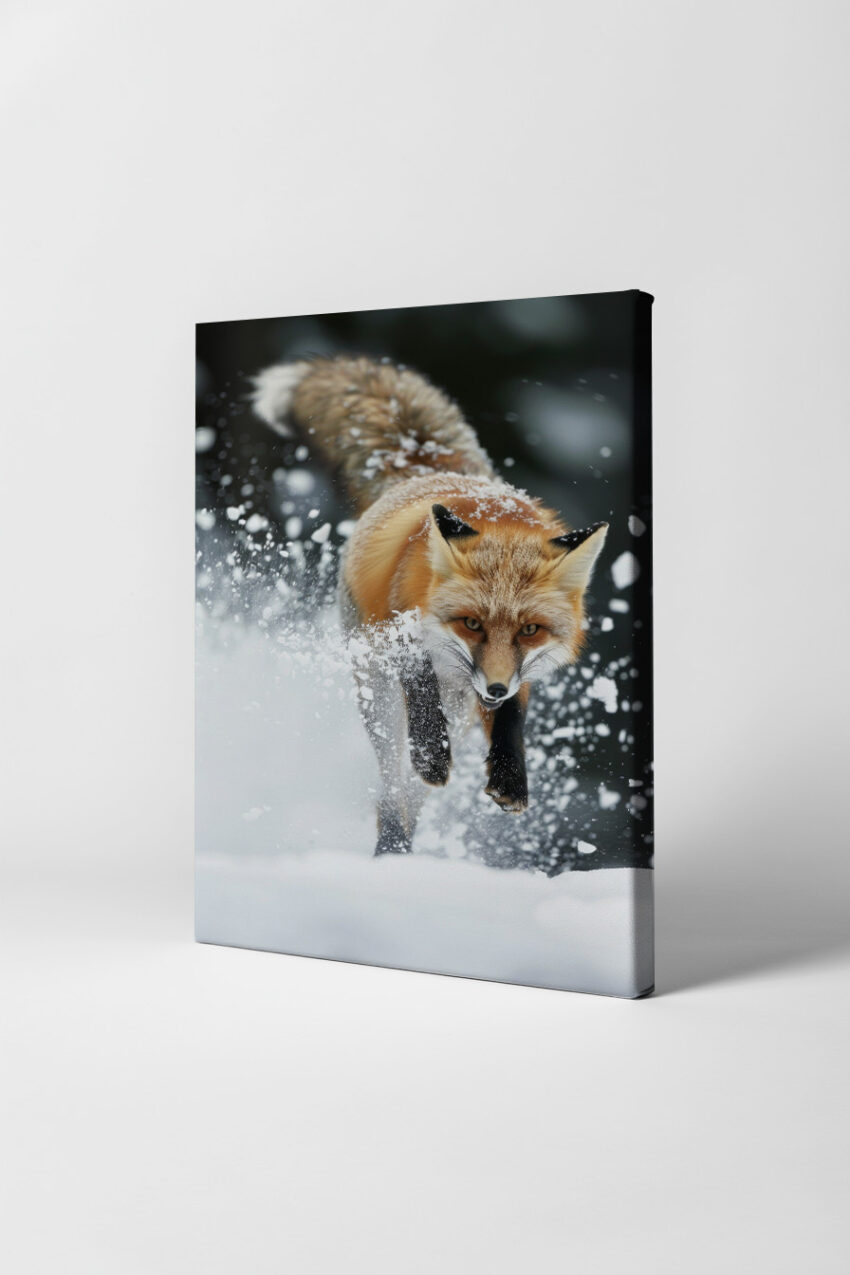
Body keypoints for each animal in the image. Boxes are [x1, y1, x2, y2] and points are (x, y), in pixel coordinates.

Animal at [253, 355, 608, 857]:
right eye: (471, 623)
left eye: (530, 630)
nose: (494, 688)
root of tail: (427, 470)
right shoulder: (401, 635)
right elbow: (421, 695)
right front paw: (431, 755)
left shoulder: (513, 676)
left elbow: (511, 719)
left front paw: (510, 780)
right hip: (377, 692)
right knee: (391, 782)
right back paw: (392, 840)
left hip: (457, 706)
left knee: (410, 796)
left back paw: (402, 846)